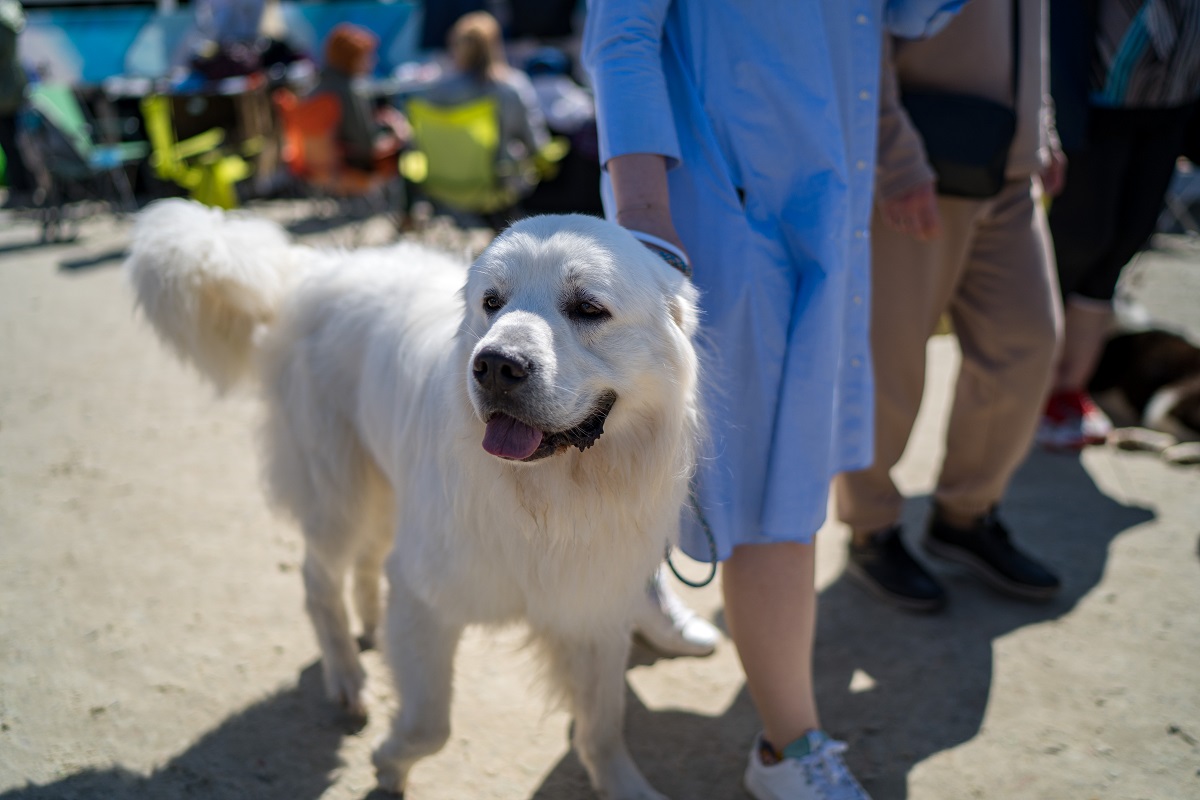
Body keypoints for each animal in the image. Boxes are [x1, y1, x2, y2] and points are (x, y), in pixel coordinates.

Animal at [121, 196, 700, 796]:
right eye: (491, 302)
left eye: (587, 308)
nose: (495, 365)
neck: (548, 496)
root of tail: (315, 268)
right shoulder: (429, 601)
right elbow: (429, 724)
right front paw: (389, 763)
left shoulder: (594, 609)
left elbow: (603, 723)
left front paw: (623, 784)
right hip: (340, 494)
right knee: (318, 581)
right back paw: (347, 677)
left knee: (369, 563)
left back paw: (373, 626)